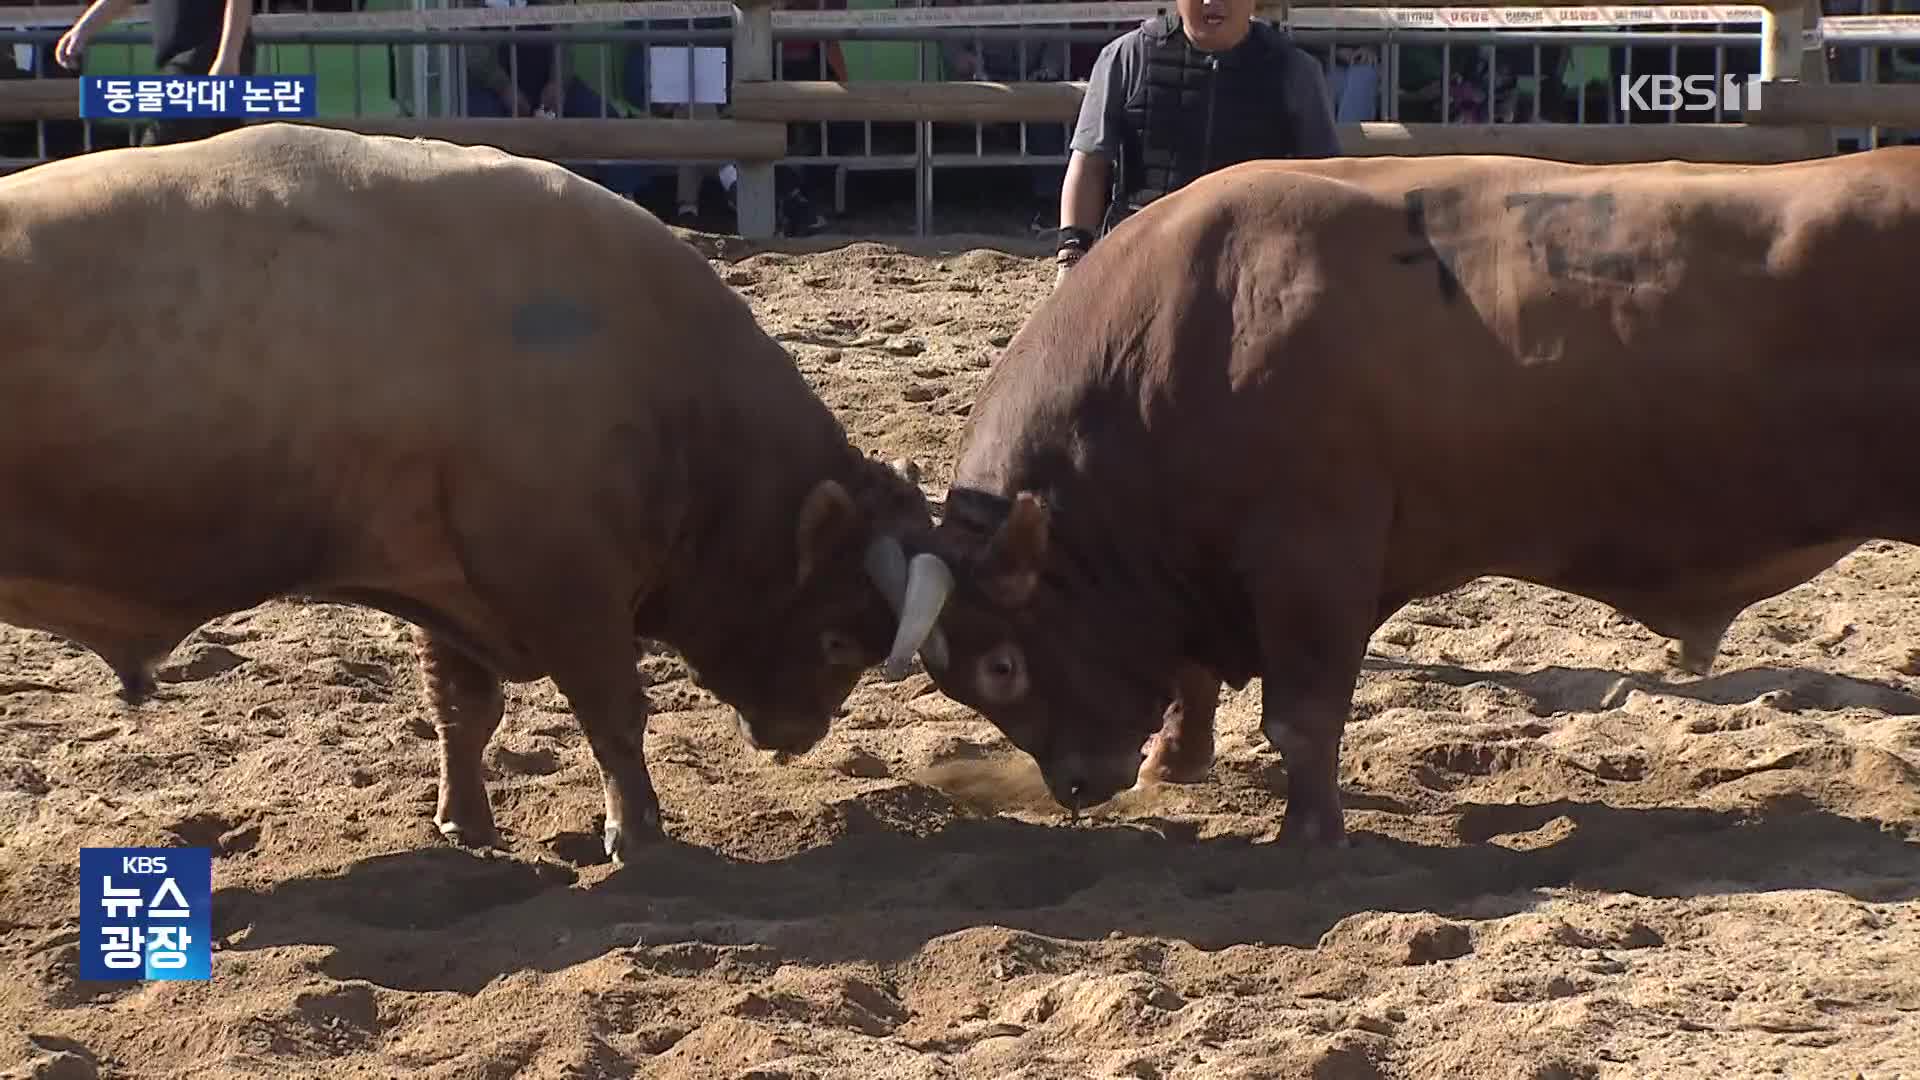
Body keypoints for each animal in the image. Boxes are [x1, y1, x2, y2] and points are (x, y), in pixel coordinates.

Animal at [0, 122, 944, 857]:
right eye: (834, 636)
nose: (798, 733)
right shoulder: (566, 585)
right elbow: (613, 711)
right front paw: (637, 832)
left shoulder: (446, 582)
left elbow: (465, 711)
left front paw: (465, 823)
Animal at [879, 145, 1912, 841]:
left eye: (1001, 665)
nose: (1077, 784)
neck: (1187, 330)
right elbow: (1193, 678)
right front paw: (1177, 763)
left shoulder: (1313, 559)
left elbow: (1302, 717)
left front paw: (1308, 835)